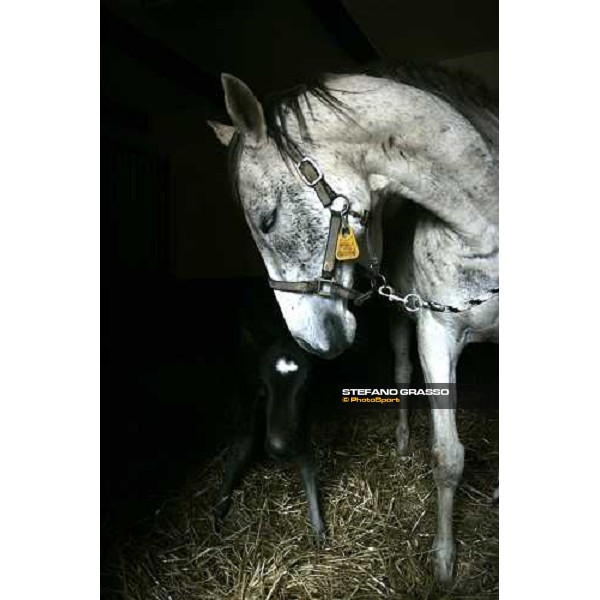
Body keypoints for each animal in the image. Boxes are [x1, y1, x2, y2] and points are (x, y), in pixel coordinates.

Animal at [211, 338, 324, 540]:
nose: (279, 448)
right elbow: (242, 448)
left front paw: (318, 529)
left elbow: (308, 465)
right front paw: (219, 510)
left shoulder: (302, 425)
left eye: (304, 387)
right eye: (263, 384)